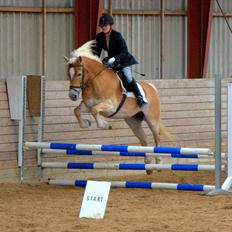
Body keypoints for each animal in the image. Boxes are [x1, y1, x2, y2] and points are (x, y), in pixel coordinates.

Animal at [64, 40, 168, 174]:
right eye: (68, 74)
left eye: (79, 74)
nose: (72, 95)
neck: (95, 81)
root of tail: (151, 88)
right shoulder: (87, 105)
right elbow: (77, 110)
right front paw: (86, 123)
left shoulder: (111, 106)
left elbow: (95, 110)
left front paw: (105, 125)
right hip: (133, 121)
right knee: (144, 139)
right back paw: (148, 167)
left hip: (152, 119)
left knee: (157, 138)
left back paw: (159, 163)